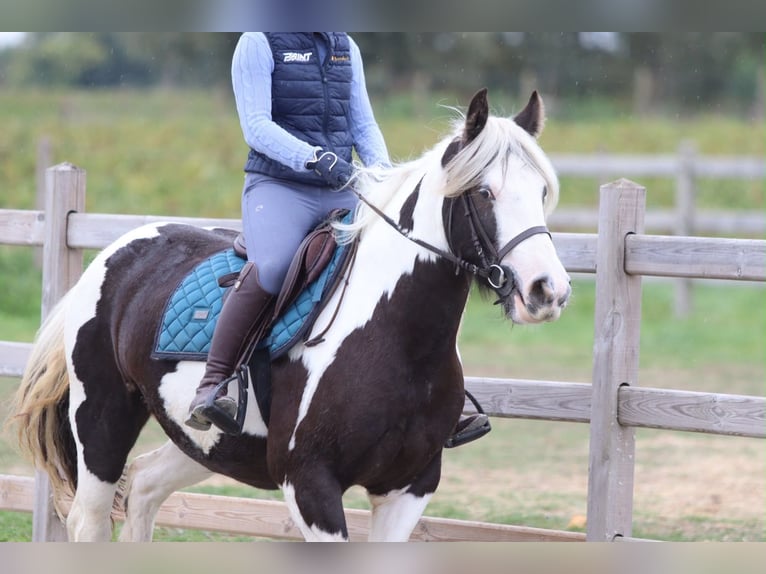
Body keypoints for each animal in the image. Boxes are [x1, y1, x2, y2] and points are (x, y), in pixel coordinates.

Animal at [7, 88, 571, 542]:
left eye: (542, 191)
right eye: (484, 192)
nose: (548, 290)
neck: (395, 339)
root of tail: (118, 250)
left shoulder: (408, 487)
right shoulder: (310, 485)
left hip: (206, 443)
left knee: (144, 487)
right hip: (101, 423)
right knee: (90, 518)